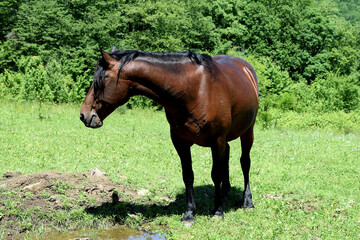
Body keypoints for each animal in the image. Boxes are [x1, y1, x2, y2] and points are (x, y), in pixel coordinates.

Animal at [80, 46, 258, 223]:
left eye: (99, 82)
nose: (84, 115)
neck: (196, 90)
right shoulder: (181, 142)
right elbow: (188, 175)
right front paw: (189, 214)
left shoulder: (217, 141)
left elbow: (216, 174)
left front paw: (218, 212)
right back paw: (225, 192)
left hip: (248, 132)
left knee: (245, 163)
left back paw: (247, 201)